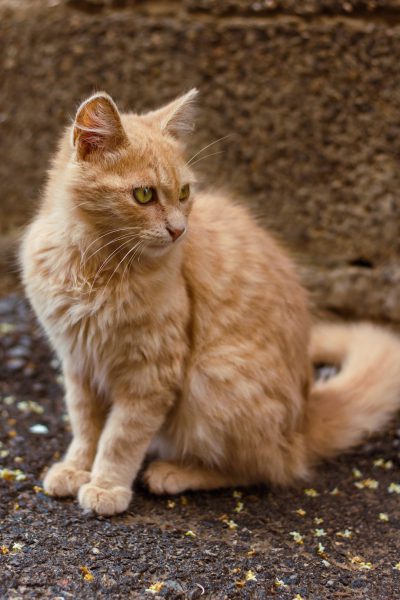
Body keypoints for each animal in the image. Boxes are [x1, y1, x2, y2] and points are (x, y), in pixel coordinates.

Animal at [19, 90, 400, 516]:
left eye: (184, 193)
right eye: (144, 195)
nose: (178, 230)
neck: (93, 266)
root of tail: (304, 422)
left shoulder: (152, 373)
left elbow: (120, 437)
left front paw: (106, 485)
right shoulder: (78, 364)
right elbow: (86, 427)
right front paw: (75, 469)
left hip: (212, 377)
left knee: (266, 468)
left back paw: (175, 472)